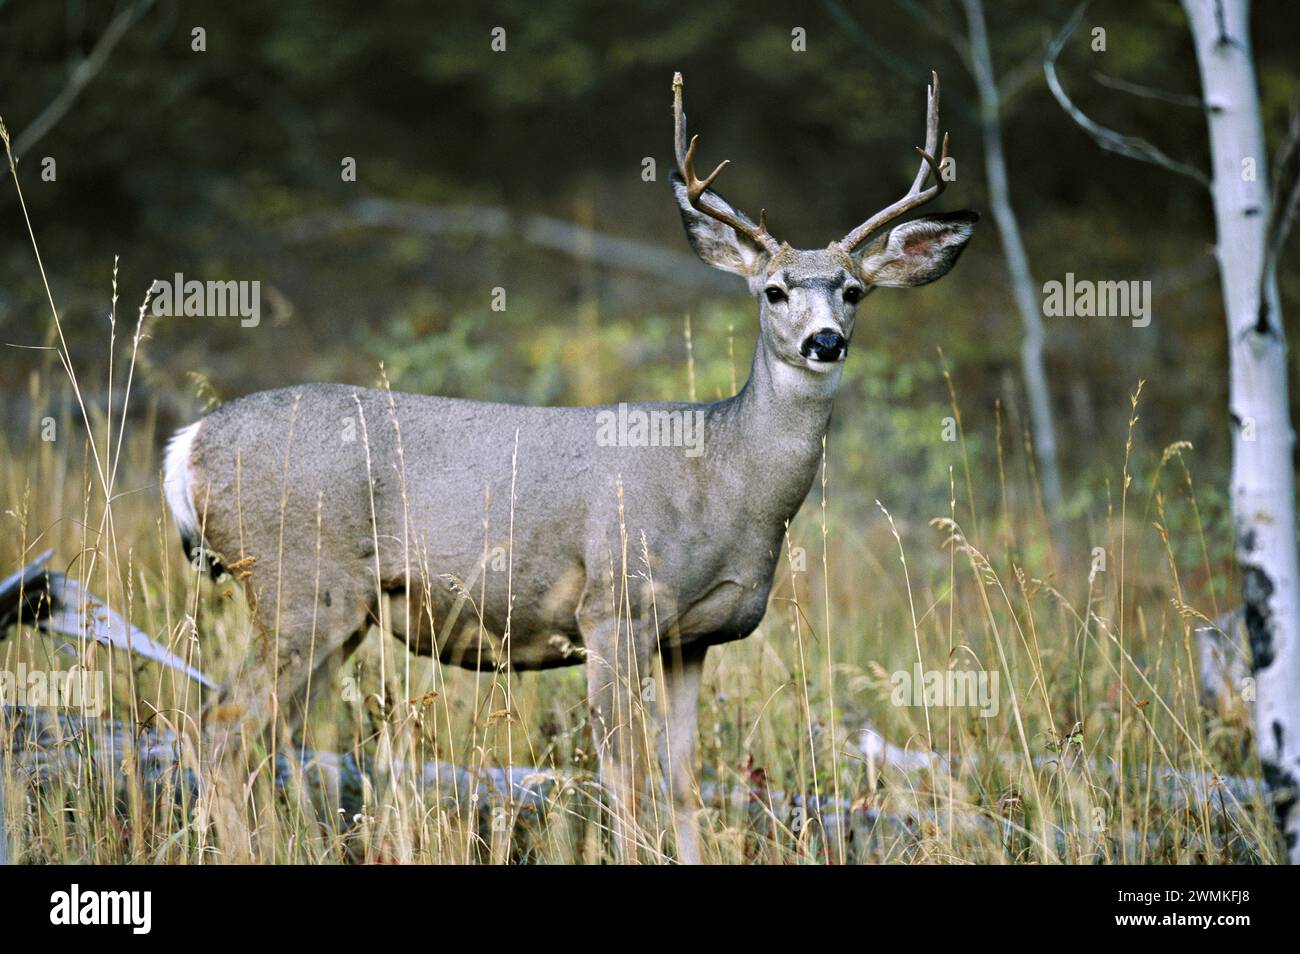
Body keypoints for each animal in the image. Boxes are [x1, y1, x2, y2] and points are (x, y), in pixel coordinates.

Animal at [162, 72, 977, 868]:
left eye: (854, 289)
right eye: (774, 290)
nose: (825, 340)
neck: (725, 479)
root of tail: (188, 445)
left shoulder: (693, 638)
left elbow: (684, 781)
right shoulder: (614, 606)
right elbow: (625, 776)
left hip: (336, 614)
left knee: (266, 737)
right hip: (299, 583)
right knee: (219, 726)